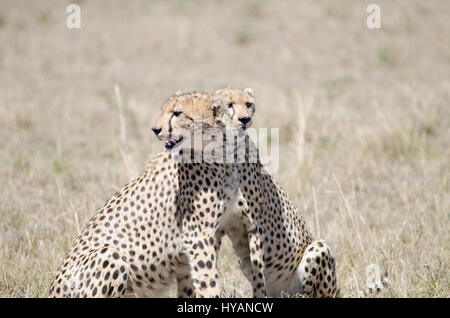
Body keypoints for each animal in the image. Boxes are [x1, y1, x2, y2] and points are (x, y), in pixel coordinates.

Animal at [49, 91, 266, 298]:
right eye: (164, 111)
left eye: (177, 113)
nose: (155, 129)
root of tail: (52, 290)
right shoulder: (196, 234)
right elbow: (208, 281)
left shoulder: (206, 236)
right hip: (110, 254)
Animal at [152, 87, 338, 298]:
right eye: (229, 105)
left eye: (248, 104)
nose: (245, 119)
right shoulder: (216, 228)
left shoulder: (254, 224)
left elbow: (258, 274)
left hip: (318, 249)